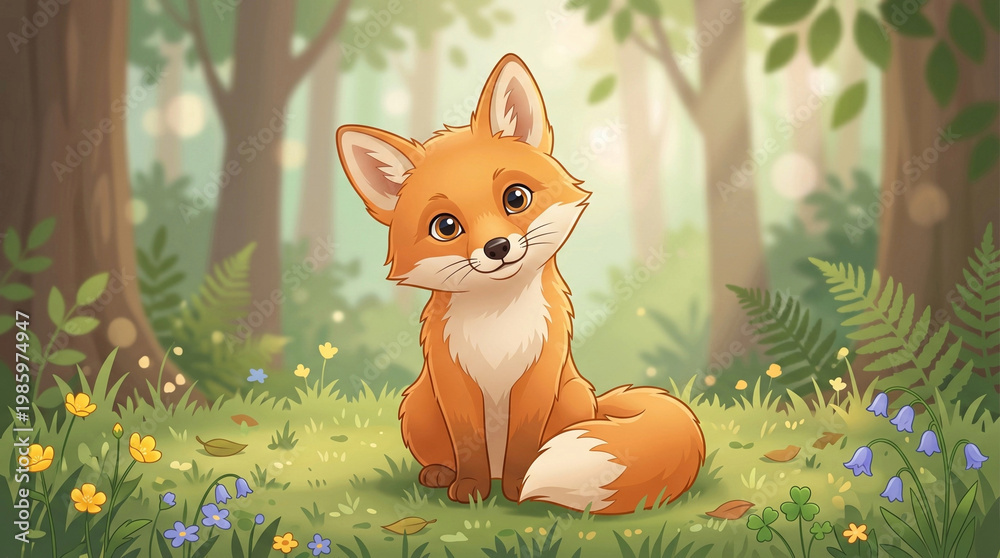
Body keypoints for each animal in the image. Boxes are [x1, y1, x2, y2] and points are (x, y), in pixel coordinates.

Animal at [336, 54, 705, 514]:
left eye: (516, 198)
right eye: (445, 227)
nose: (497, 247)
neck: (499, 321)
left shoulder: (539, 375)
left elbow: (525, 446)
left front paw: (517, 489)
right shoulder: (453, 381)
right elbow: (469, 444)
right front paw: (470, 489)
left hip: (573, 397)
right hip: (419, 404)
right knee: (445, 455)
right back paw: (440, 474)